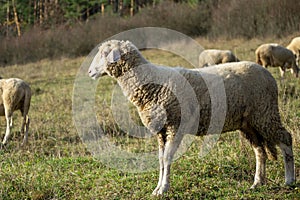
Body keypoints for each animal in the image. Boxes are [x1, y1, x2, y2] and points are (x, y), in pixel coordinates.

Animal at [88, 39, 296, 196]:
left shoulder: (175, 125)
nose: (89, 72)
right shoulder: (161, 130)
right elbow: (160, 159)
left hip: (265, 112)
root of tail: (268, 74)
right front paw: (157, 188)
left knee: (285, 138)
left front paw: (164, 189)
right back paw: (257, 182)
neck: (151, 82)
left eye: (105, 53)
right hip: (249, 122)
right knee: (260, 151)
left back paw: (289, 180)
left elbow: (167, 158)